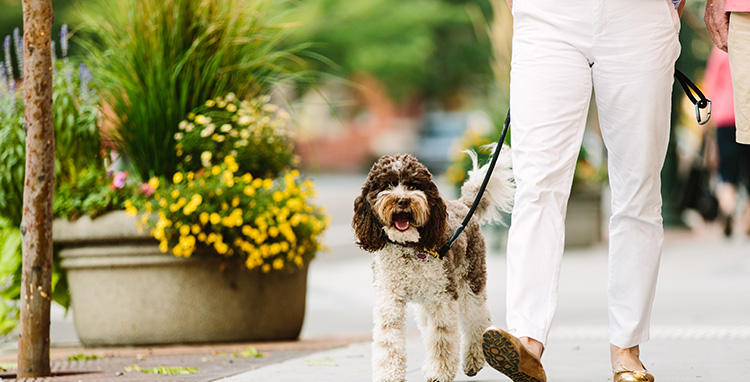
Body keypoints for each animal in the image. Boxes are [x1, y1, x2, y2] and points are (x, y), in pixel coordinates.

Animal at [352, 147, 516, 382]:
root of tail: (464, 204)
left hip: (470, 281)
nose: (403, 200)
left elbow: (441, 337)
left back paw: (475, 360)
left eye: (413, 185)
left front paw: (439, 372)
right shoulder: (389, 298)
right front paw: (389, 374)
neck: (408, 247)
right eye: (387, 185)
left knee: (478, 319)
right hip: (425, 302)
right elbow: (389, 338)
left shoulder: (442, 296)